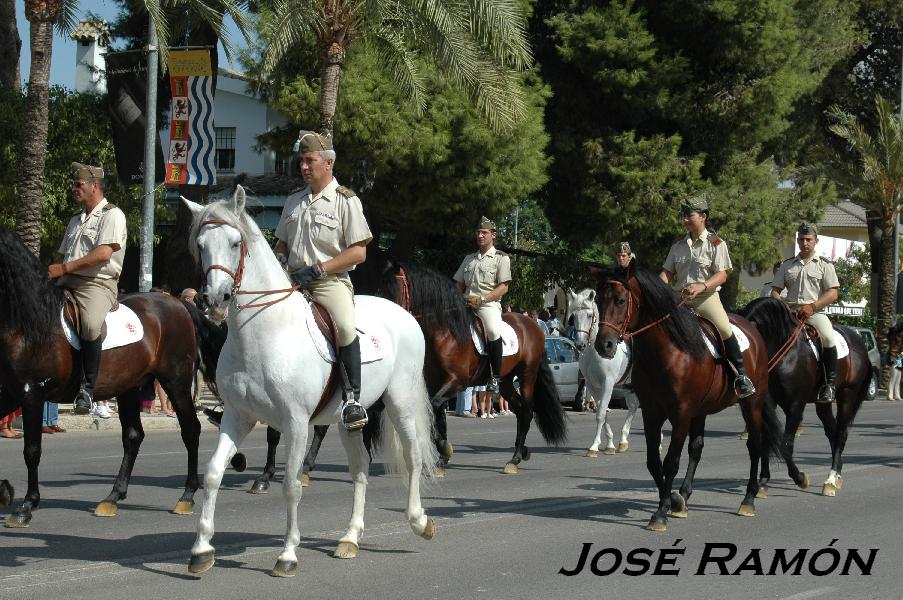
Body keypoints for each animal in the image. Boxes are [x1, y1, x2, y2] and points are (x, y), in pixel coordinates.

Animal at [0, 227, 222, 528]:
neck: (28, 324)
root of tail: (177, 302)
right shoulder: (9, 393)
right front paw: (5, 491)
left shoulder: (31, 394)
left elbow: (32, 450)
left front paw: (26, 506)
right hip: (129, 386)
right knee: (133, 436)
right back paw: (113, 496)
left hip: (174, 380)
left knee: (190, 429)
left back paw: (186, 496)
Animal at [184, 188, 438, 576]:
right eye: (200, 244)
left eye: (234, 242)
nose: (213, 300)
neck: (264, 333)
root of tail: (403, 313)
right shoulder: (237, 417)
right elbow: (213, 474)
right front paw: (201, 550)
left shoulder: (296, 423)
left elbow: (291, 485)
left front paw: (288, 554)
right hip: (351, 421)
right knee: (360, 470)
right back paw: (350, 538)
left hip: (402, 402)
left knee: (412, 457)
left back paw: (419, 521)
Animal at [592, 264, 792, 532]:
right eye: (597, 300)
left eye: (621, 300)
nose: (604, 345)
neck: (669, 353)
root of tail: (752, 328)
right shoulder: (652, 413)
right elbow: (654, 462)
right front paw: (672, 501)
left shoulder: (681, 414)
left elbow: (671, 461)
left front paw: (660, 514)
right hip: (702, 410)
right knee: (697, 448)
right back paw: (684, 495)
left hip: (752, 403)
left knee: (755, 445)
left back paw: (748, 499)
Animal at [740, 296, 872, 496]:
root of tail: (858, 340)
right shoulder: (766, 403)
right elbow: (766, 440)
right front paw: (763, 481)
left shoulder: (795, 405)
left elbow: (786, 444)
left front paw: (800, 477)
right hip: (823, 403)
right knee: (832, 431)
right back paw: (837, 473)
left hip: (847, 395)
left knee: (841, 433)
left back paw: (831, 479)